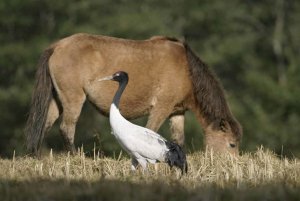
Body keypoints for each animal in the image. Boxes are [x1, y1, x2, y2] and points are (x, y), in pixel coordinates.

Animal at [24, 33, 243, 155]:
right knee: (66, 129)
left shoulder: (176, 113)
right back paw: (75, 156)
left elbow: (178, 140)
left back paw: (36, 155)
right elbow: (151, 131)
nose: (232, 165)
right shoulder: (161, 108)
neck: (187, 70)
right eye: (232, 144)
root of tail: (57, 46)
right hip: (73, 99)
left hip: (57, 100)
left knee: (45, 125)